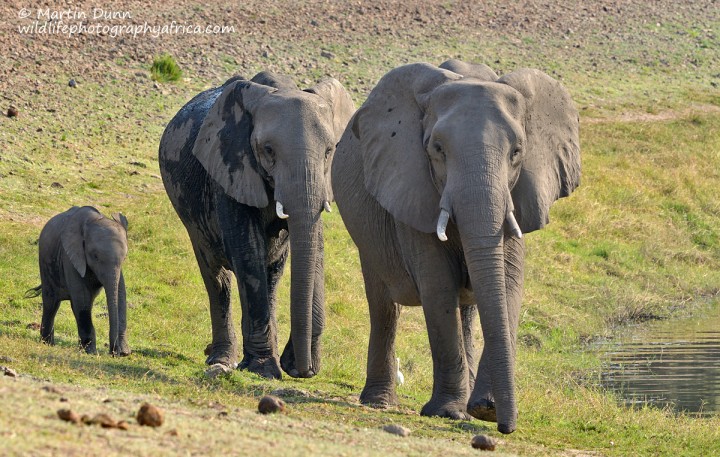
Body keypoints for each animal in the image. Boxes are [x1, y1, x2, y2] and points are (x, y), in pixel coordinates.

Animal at [27, 205, 131, 354]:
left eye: (125, 257)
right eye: (95, 256)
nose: (114, 352)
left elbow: (121, 296)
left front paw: (124, 353)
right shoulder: (70, 256)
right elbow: (82, 300)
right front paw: (90, 352)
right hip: (45, 262)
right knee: (51, 304)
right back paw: (47, 344)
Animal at [160, 71, 358, 378]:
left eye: (329, 151)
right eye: (268, 150)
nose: (302, 369)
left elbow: (313, 247)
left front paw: (286, 365)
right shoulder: (231, 167)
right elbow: (247, 252)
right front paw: (263, 370)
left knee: (272, 275)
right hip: (190, 216)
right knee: (217, 278)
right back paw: (221, 359)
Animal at [332, 58, 580, 432]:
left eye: (517, 152)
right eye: (437, 150)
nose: (505, 426)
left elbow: (508, 284)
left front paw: (483, 409)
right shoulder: (413, 188)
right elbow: (438, 287)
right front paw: (449, 412)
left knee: (468, 308)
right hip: (367, 233)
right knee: (383, 304)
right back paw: (378, 402)